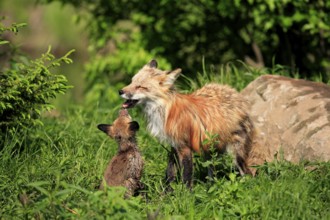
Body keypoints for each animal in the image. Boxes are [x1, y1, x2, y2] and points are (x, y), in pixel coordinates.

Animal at [120, 59, 254, 187]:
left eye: (140, 87)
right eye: (131, 82)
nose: (120, 91)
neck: (165, 111)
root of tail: (234, 92)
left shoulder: (184, 146)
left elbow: (187, 175)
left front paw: (187, 193)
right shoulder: (174, 145)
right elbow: (170, 173)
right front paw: (168, 192)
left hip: (235, 152)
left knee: (248, 173)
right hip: (209, 148)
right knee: (212, 169)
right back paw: (210, 186)